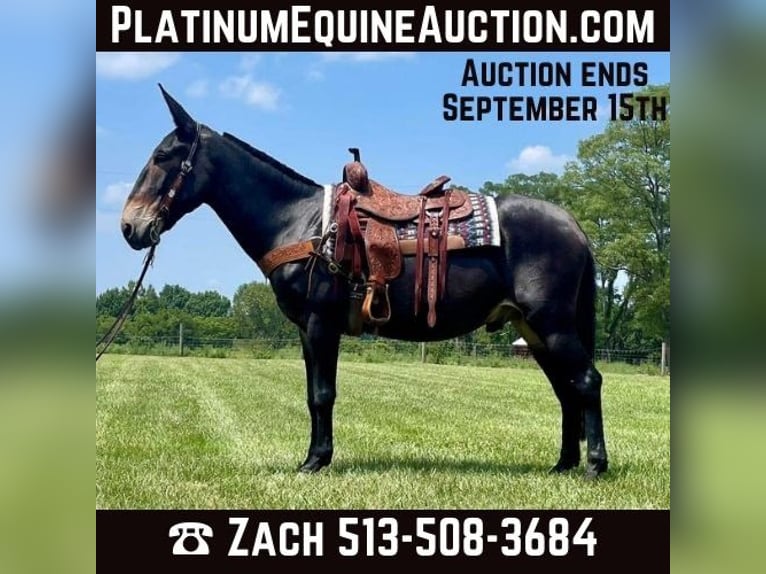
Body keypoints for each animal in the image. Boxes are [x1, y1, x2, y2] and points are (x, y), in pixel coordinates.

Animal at [118, 86, 608, 479]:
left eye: (162, 157)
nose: (129, 227)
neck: (300, 222)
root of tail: (572, 225)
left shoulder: (321, 322)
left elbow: (322, 394)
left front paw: (316, 461)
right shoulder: (307, 329)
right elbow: (313, 393)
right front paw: (314, 456)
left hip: (552, 324)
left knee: (586, 381)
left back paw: (593, 466)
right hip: (534, 330)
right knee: (566, 391)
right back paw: (563, 464)